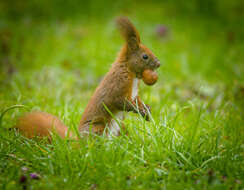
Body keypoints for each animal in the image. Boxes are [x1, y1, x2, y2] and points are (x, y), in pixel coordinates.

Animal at [15, 17, 160, 140]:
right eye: (145, 56)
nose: (159, 63)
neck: (131, 73)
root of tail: (78, 144)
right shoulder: (118, 84)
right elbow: (120, 101)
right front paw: (139, 110)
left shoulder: (133, 93)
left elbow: (136, 99)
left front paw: (146, 109)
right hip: (98, 128)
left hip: (119, 129)